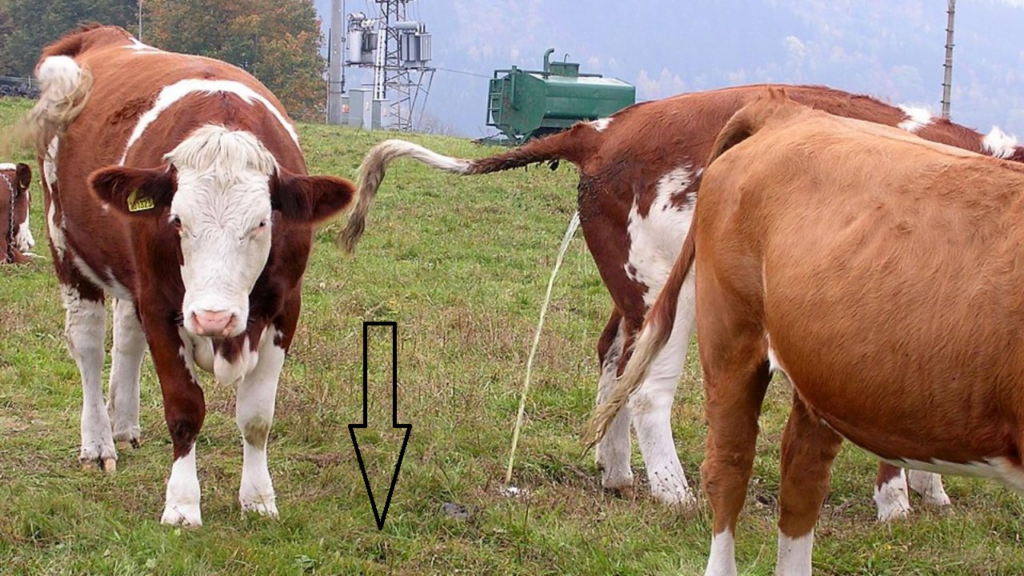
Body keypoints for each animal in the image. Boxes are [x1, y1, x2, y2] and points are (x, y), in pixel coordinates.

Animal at [24, 25, 355, 526]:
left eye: (263, 222)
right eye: (177, 220)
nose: (213, 318)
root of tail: (99, 34)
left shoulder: (285, 308)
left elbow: (256, 416)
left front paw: (258, 498)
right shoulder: (163, 308)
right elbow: (184, 409)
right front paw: (181, 504)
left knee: (126, 336)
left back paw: (124, 424)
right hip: (65, 241)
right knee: (88, 345)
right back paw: (98, 442)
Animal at [335, 83, 1024, 520]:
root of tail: (605, 128)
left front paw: (932, 492)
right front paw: (897, 505)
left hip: (636, 287)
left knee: (613, 359)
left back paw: (617, 474)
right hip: (677, 286)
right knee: (644, 390)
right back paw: (676, 494)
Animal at [587, 88, 1024, 575]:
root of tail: (780, 110)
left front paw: (926, 491)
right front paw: (896, 504)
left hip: (820, 366)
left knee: (798, 474)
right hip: (703, 317)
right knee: (701, 442)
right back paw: (671, 489)